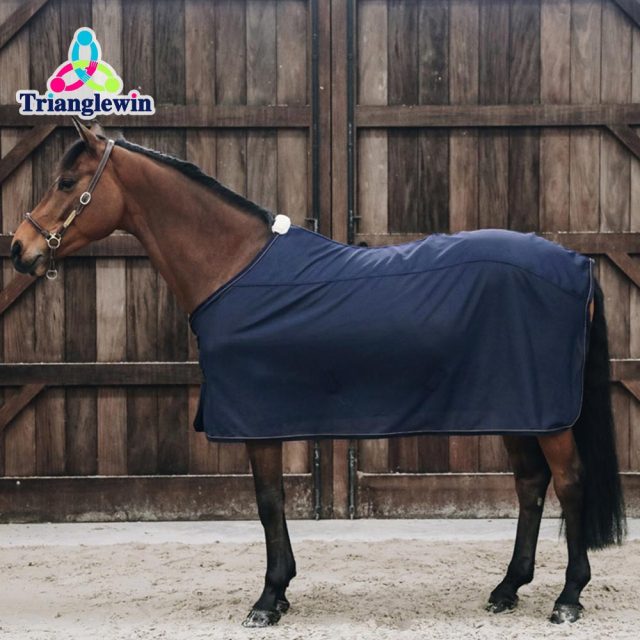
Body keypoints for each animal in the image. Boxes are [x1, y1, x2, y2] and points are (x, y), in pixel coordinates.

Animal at [10, 118, 625, 627]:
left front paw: (268, 599)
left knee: (569, 483)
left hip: (547, 417)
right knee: (530, 484)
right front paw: (279, 593)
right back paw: (506, 588)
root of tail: (577, 264)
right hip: (515, 410)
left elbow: (267, 503)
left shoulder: (257, 420)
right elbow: (275, 502)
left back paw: (567, 598)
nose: (19, 248)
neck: (233, 266)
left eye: (66, 182)